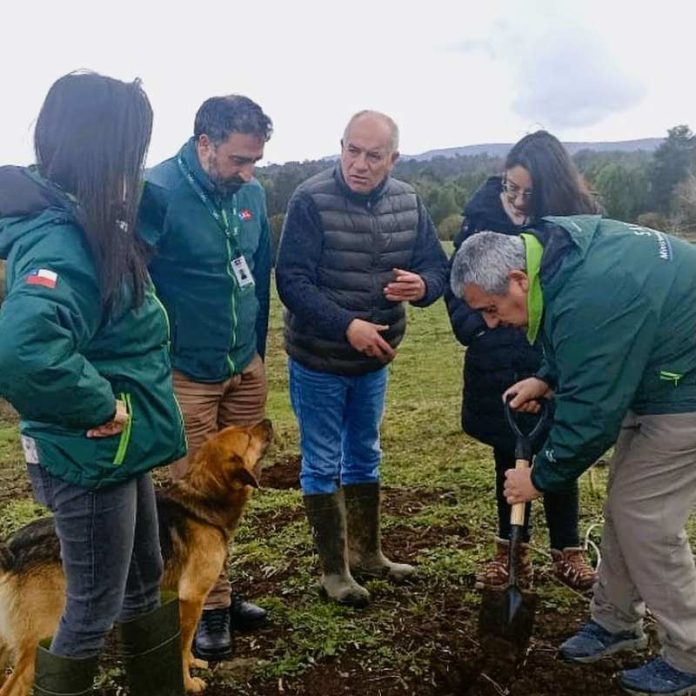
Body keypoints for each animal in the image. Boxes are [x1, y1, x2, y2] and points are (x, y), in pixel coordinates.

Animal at [0, 418, 274, 696]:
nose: (267, 421)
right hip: (43, 637)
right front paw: (187, 681)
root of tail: (13, 550)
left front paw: (192, 664)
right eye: (247, 436)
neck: (201, 500)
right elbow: (184, 643)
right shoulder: (192, 597)